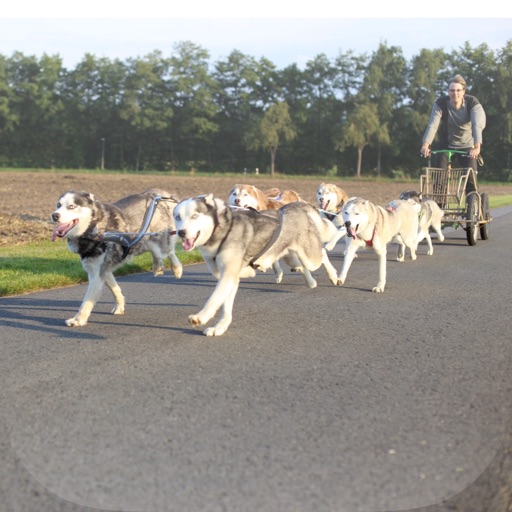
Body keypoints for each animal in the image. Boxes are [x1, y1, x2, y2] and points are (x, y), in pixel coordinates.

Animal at [51, 187, 183, 324]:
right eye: (58, 205)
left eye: (71, 206)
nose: (54, 215)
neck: (95, 228)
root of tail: (157, 194)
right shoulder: (101, 270)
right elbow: (115, 289)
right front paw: (119, 306)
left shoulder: (96, 274)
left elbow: (87, 301)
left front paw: (79, 319)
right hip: (145, 242)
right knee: (157, 253)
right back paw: (158, 267)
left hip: (159, 243)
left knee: (169, 251)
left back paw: (176, 269)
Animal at [174, 195, 338, 336]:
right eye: (177, 217)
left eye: (195, 216)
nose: (181, 232)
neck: (222, 229)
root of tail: (296, 206)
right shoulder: (230, 277)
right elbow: (225, 306)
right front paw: (220, 327)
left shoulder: (228, 275)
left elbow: (214, 299)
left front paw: (201, 317)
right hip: (290, 257)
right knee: (301, 267)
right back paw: (311, 282)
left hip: (311, 258)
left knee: (322, 254)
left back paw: (334, 276)